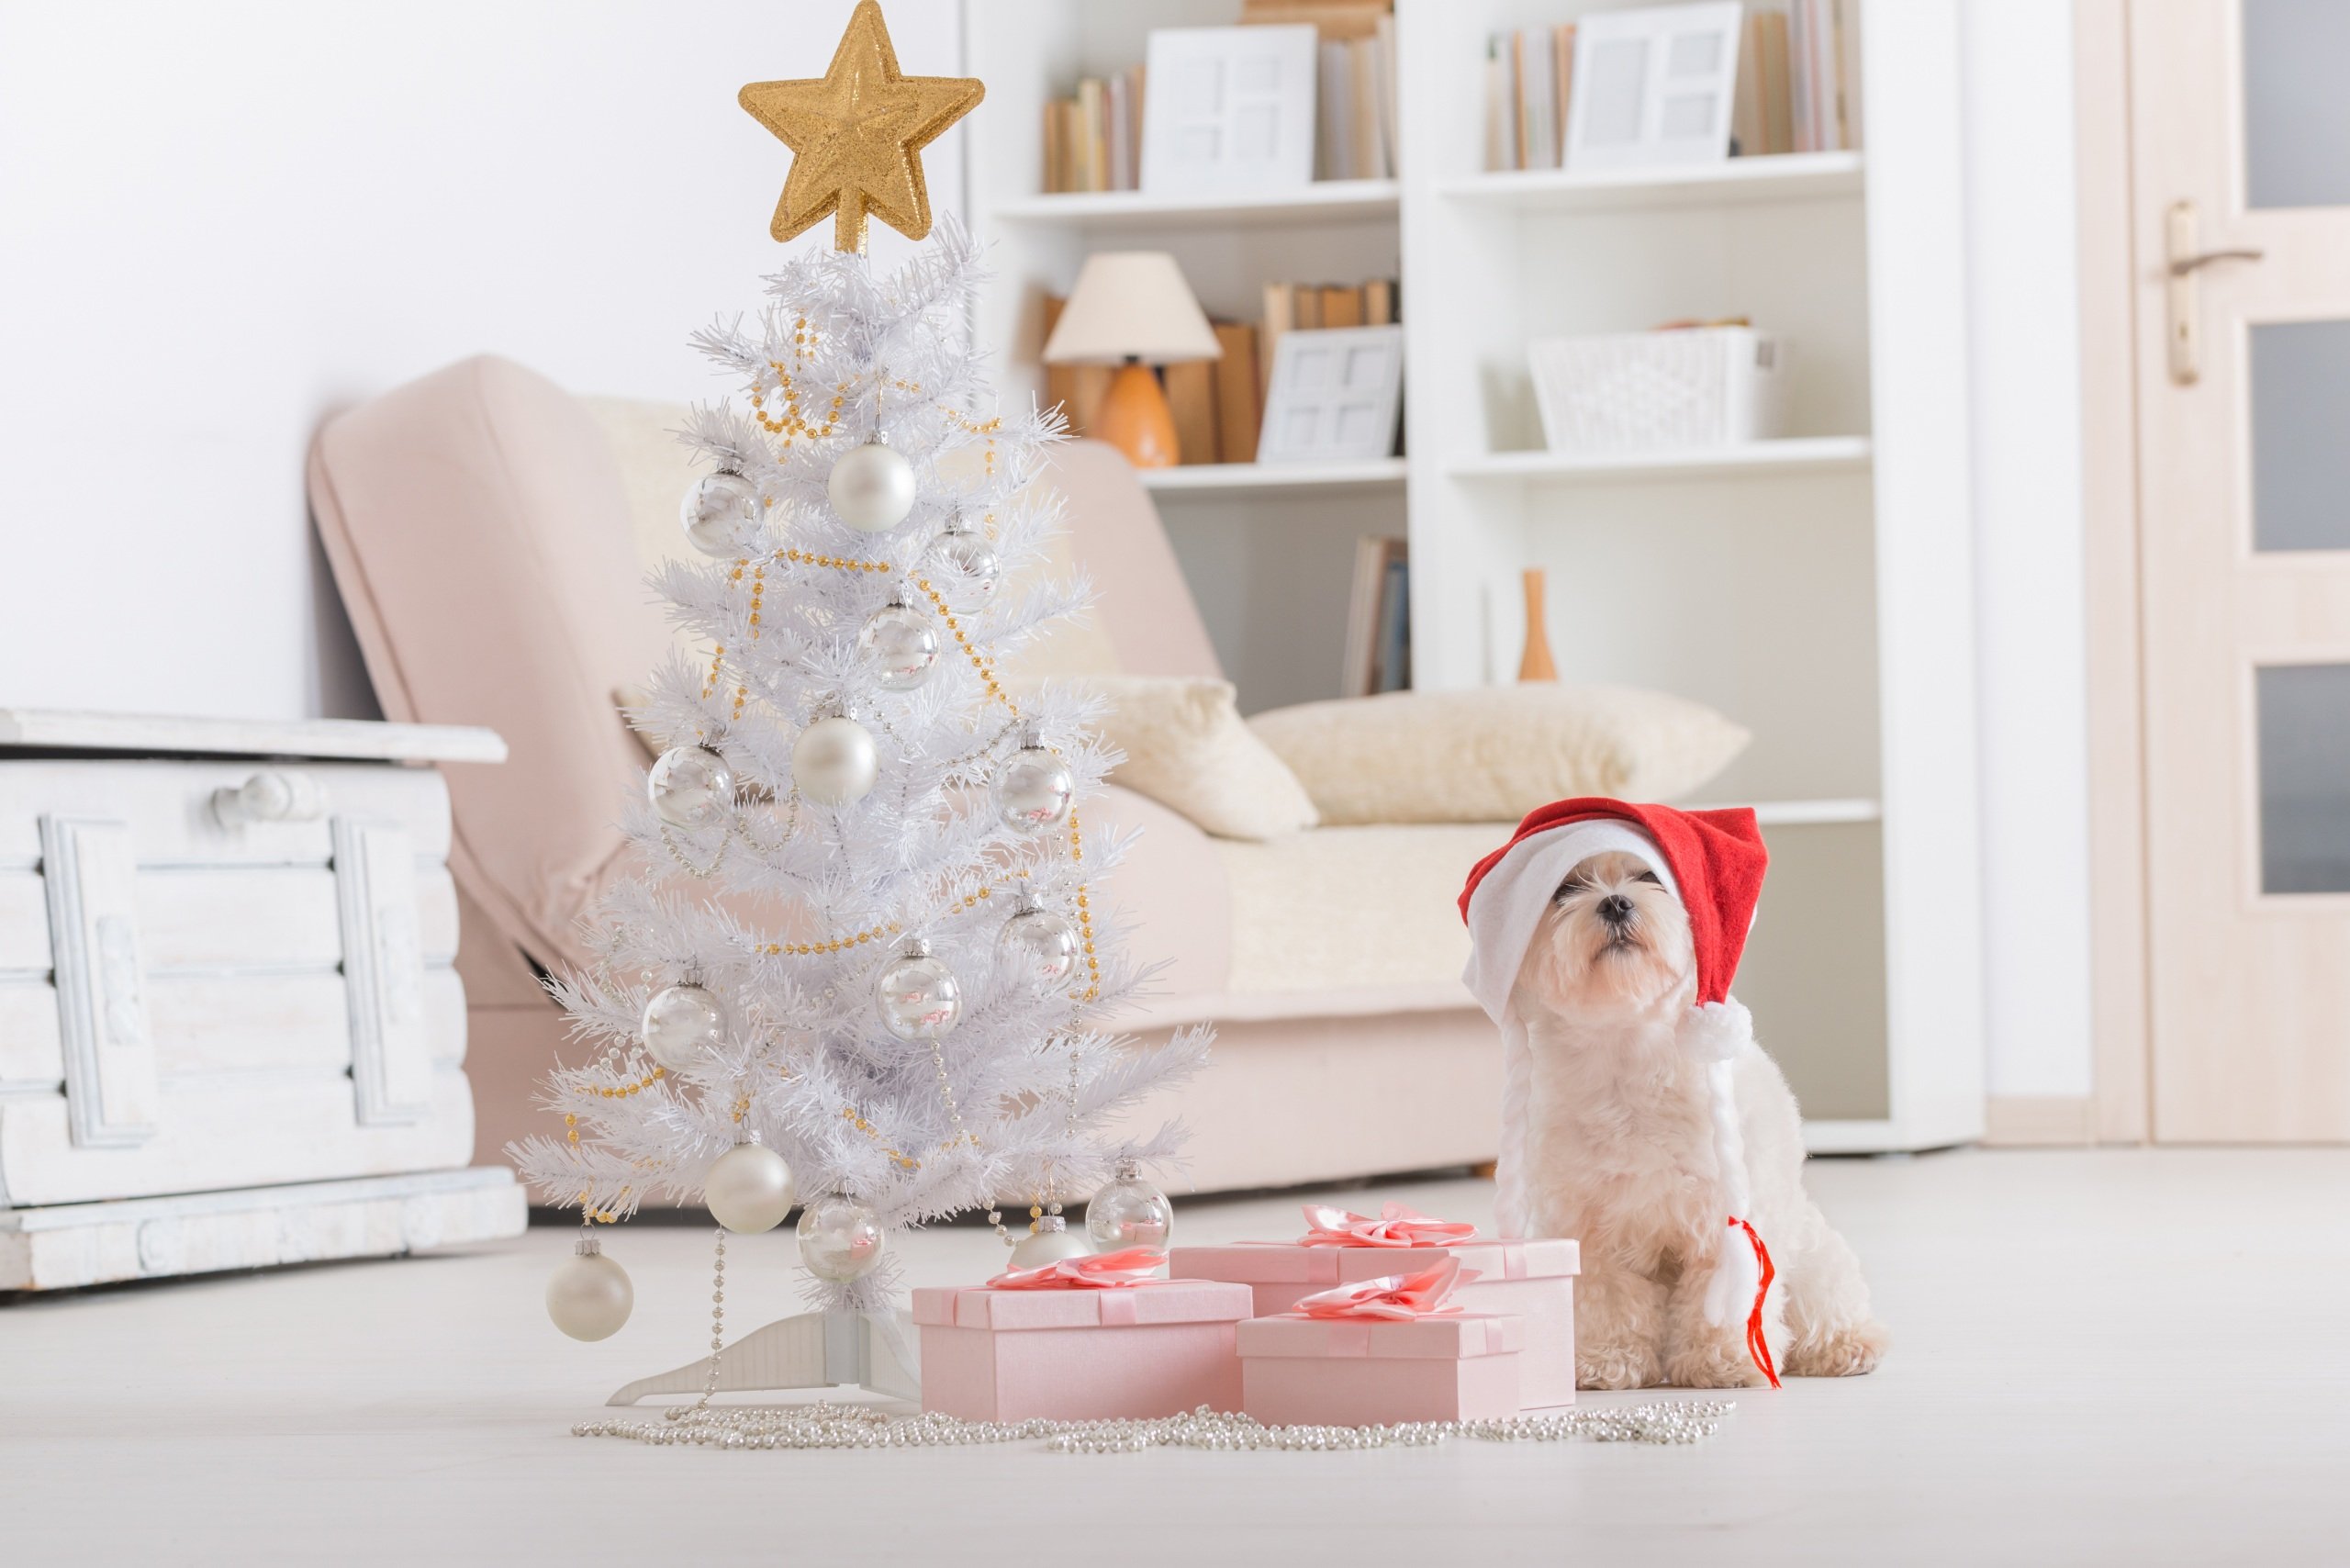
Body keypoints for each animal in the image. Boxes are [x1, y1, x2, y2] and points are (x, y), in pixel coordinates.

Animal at [1522, 850, 1889, 1391]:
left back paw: (1846, 1346)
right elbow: (1606, 1300)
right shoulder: (1591, 1228)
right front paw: (1606, 1361)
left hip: (1814, 1258)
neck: (1633, 1053)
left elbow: (1722, 1301)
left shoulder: (1725, 1216)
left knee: (1826, 1305)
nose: (1615, 903)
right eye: (1566, 889)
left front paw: (1725, 1364)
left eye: (1649, 877)